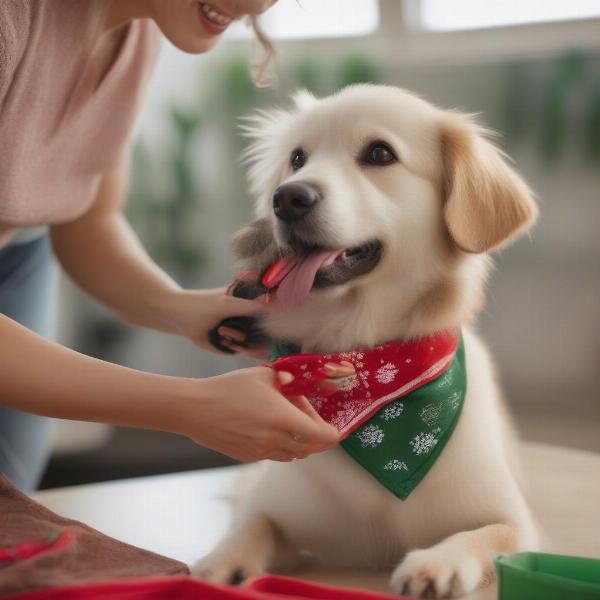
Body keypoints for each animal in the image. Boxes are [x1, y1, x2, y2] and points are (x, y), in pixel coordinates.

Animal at [196, 85, 540, 600]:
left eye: (380, 154)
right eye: (297, 159)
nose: (288, 198)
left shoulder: (519, 523)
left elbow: (483, 536)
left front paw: (435, 564)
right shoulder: (277, 507)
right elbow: (251, 523)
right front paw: (220, 560)